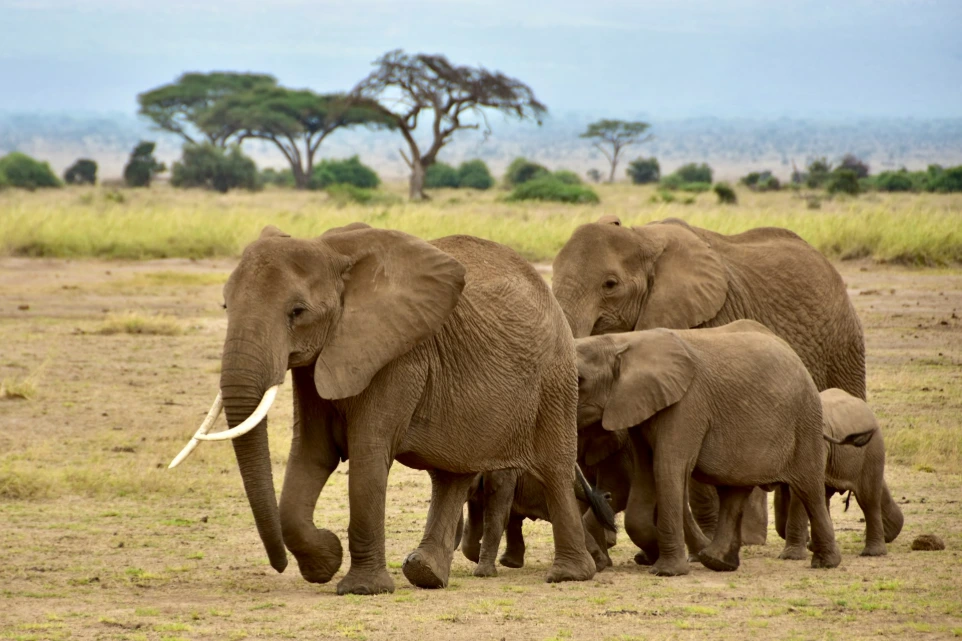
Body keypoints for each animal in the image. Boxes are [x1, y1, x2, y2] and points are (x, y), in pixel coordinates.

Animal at [169, 223, 597, 595]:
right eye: (225, 305)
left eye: (297, 312)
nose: (280, 565)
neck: (333, 253)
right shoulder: (321, 359)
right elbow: (312, 454)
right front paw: (325, 560)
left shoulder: (399, 356)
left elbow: (367, 454)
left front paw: (360, 588)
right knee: (452, 472)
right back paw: (426, 574)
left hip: (555, 377)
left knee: (555, 469)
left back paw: (569, 575)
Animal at [460, 465, 616, 577]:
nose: (608, 495)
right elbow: (475, 521)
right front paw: (477, 556)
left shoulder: (505, 475)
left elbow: (496, 516)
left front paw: (482, 574)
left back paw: (599, 565)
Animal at [575, 320, 842, 576]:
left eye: (580, 381)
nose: (602, 498)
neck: (622, 342)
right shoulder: (638, 411)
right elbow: (645, 473)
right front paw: (654, 554)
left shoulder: (686, 403)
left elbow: (667, 467)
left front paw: (666, 571)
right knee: (734, 492)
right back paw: (717, 562)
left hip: (805, 420)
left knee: (809, 488)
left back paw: (826, 563)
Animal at [776, 388, 903, 558]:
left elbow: (801, 489)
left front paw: (790, 557)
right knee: (825, 496)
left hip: (872, 450)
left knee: (868, 498)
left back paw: (873, 552)